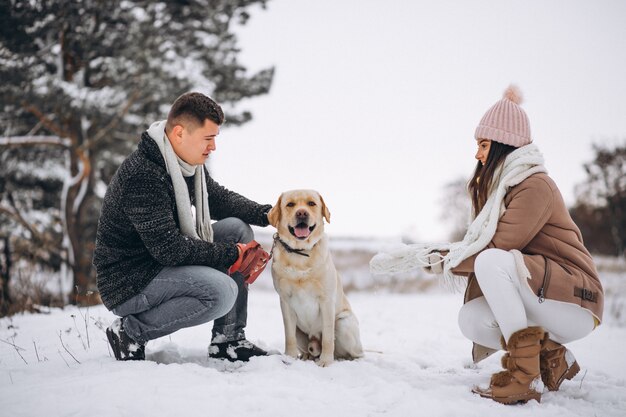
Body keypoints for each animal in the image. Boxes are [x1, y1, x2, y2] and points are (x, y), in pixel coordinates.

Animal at [266, 190, 364, 366]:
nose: (301, 213)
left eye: (311, 203)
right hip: (301, 332)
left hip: (343, 322)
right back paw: (306, 357)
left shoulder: (326, 301)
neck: (300, 254)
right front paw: (289, 357)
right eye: (290, 204)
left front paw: (326, 362)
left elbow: (327, 337)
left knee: (356, 353)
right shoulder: (285, 302)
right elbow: (289, 336)